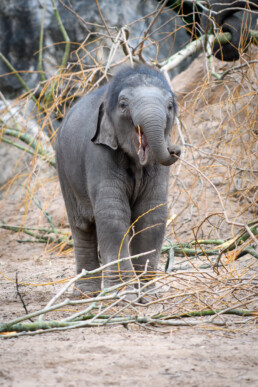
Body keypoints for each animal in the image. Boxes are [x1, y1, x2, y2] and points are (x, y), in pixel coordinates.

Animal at [56, 66, 181, 302]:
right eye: (123, 105)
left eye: (170, 106)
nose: (175, 150)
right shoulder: (99, 153)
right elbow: (113, 214)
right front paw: (123, 296)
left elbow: (151, 214)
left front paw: (148, 296)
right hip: (64, 173)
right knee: (82, 227)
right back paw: (87, 293)